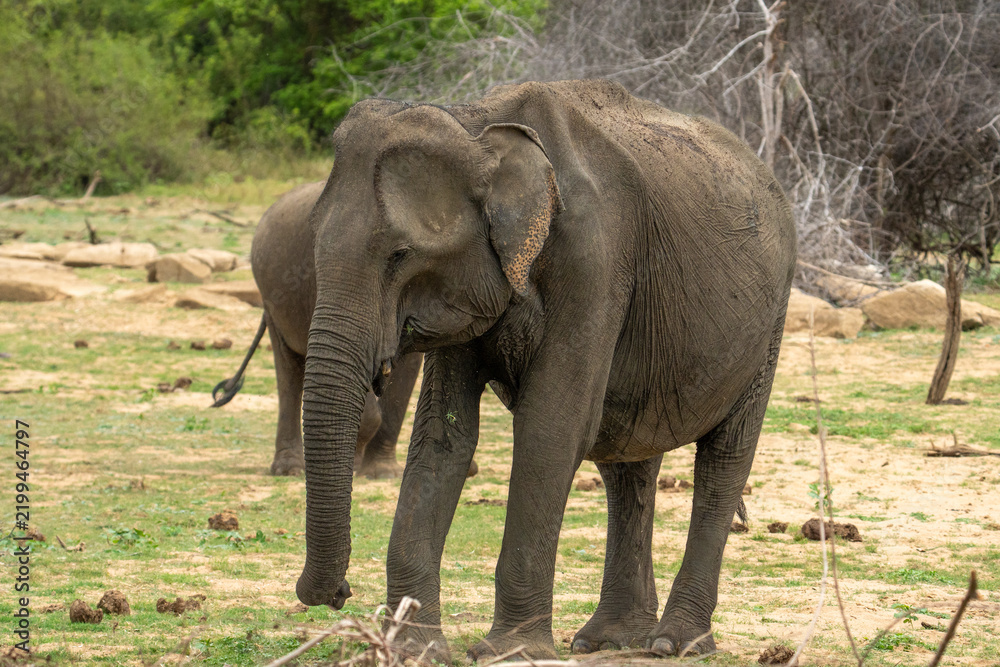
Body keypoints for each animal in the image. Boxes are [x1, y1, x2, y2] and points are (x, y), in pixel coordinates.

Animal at [294, 79, 796, 662]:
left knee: (723, 459)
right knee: (626, 459)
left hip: (770, 324)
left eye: (400, 255)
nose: (338, 592)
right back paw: (609, 638)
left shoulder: (596, 260)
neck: (476, 123)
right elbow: (443, 437)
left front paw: (510, 651)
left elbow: (551, 428)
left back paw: (675, 642)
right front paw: (414, 649)